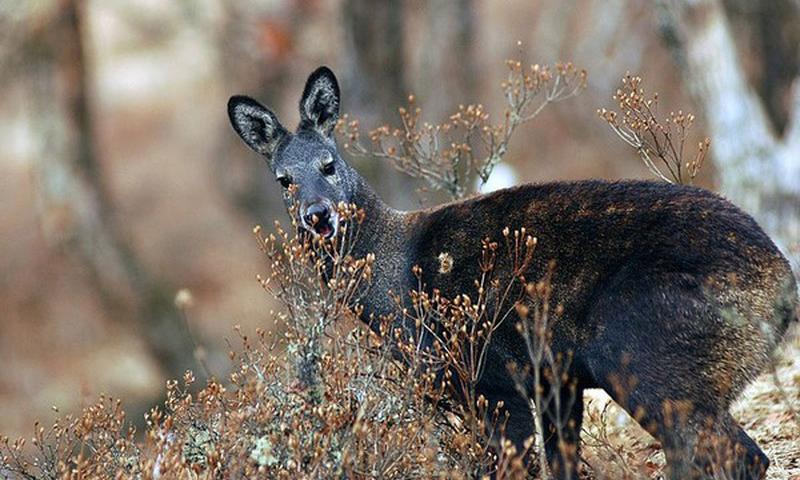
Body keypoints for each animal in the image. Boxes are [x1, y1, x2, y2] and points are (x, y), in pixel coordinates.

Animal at [227, 66, 798, 480]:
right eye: (282, 179)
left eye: (328, 164)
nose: (318, 215)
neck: (396, 282)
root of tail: (781, 289)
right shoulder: (556, 378)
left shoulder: (493, 375)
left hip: (642, 352)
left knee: (734, 453)